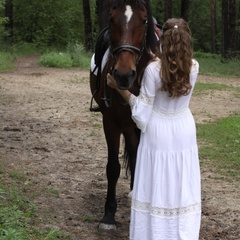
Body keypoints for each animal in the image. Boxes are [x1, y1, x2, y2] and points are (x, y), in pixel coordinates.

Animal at [89, 0, 157, 231]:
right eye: (111, 19)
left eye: (144, 20)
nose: (123, 75)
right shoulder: (111, 123)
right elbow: (113, 168)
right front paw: (108, 216)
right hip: (128, 126)